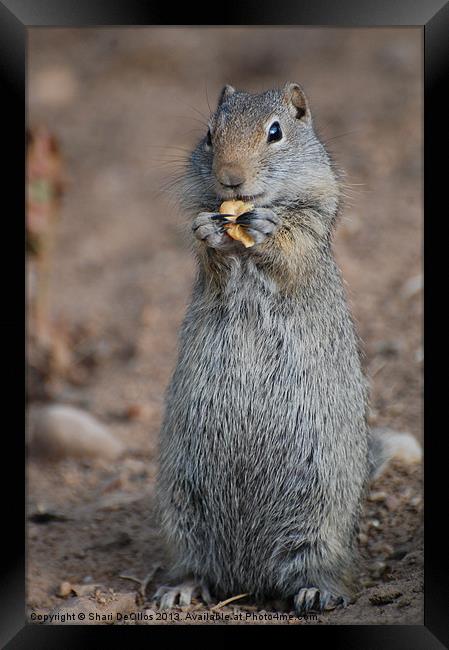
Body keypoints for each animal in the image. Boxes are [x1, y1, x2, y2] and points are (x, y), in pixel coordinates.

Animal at [154, 83, 372, 612]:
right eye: (209, 133)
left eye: (275, 132)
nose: (229, 179)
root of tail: (247, 578)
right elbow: (208, 253)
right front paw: (209, 230)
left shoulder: (311, 225)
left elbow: (289, 247)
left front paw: (267, 228)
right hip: (182, 508)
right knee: (197, 564)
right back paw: (180, 588)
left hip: (321, 515)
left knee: (320, 569)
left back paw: (315, 592)